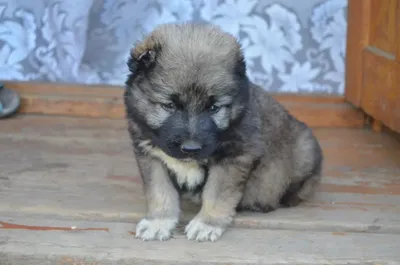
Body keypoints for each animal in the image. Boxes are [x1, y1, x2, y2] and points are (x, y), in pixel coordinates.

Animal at [123, 22, 324, 241]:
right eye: (169, 105)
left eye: (214, 108)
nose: (191, 149)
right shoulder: (150, 155)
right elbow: (159, 190)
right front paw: (158, 221)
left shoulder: (233, 157)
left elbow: (216, 193)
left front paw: (207, 223)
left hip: (305, 149)